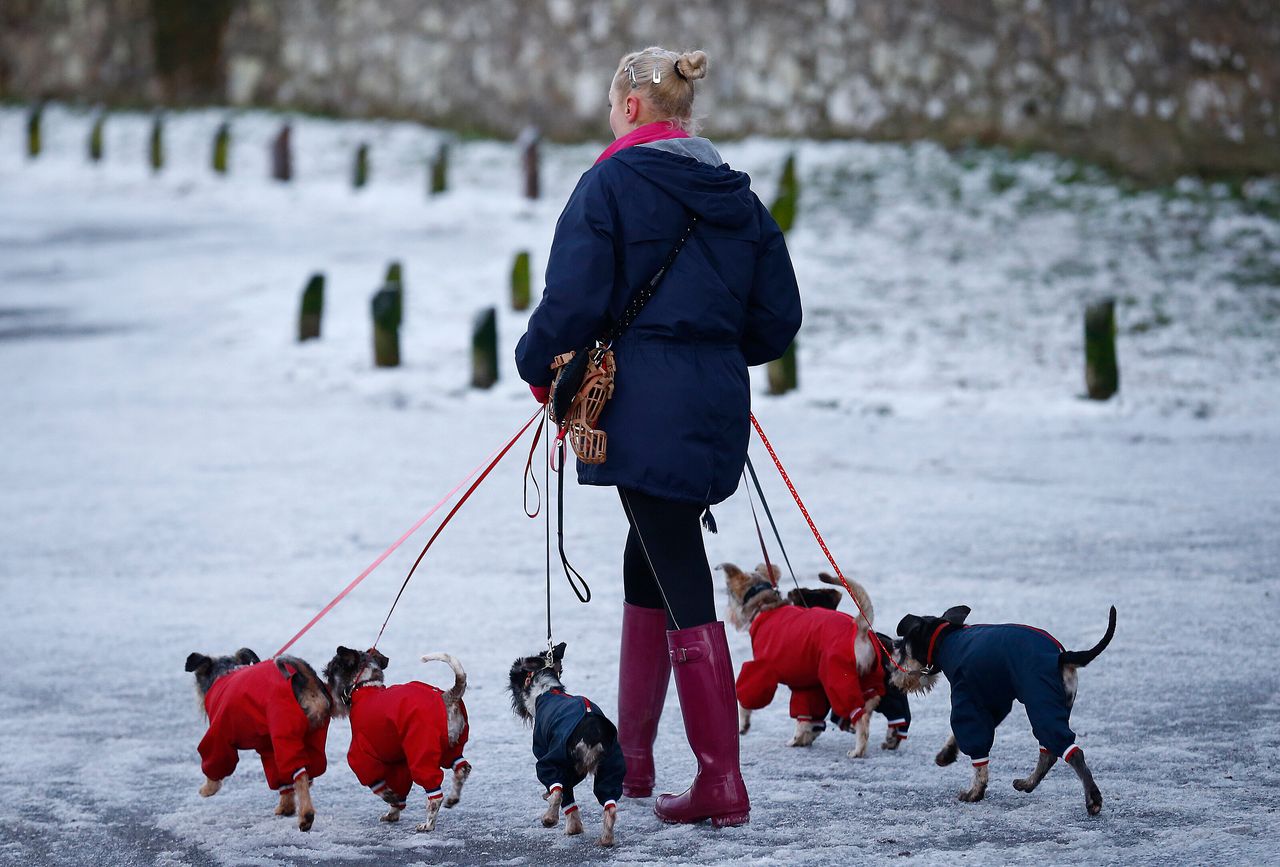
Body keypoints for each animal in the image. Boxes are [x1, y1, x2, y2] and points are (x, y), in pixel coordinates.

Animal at [186, 645, 335, 829]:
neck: (224, 672)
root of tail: (305, 678)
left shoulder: (219, 736)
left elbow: (215, 761)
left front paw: (208, 789)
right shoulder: (268, 748)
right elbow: (279, 778)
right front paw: (286, 807)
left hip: (285, 734)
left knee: (300, 776)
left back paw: (306, 816)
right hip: (313, 738)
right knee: (306, 775)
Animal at [325, 645, 471, 829]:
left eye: (328, 673)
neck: (365, 686)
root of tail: (447, 697)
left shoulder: (361, 753)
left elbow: (377, 784)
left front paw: (390, 797)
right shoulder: (399, 762)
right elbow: (399, 787)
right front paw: (393, 813)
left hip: (422, 750)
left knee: (435, 795)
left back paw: (428, 825)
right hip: (451, 748)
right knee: (462, 768)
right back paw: (452, 798)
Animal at [512, 642, 627, 845]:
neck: (545, 689)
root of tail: (593, 728)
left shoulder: (545, 748)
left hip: (555, 759)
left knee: (559, 789)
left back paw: (552, 819)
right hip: (611, 763)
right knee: (609, 804)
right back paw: (605, 839)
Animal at [727, 563, 885, 753]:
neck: (766, 605)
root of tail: (859, 627)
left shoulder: (761, 670)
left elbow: (746, 698)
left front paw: (743, 724)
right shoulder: (807, 686)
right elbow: (805, 716)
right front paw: (802, 739)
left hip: (837, 678)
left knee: (860, 716)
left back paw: (857, 751)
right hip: (868, 677)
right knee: (870, 704)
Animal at [885, 601, 1116, 809]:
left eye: (902, 648)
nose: (892, 673)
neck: (946, 639)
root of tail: (1061, 656)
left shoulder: (966, 697)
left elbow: (976, 750)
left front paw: (974, 792)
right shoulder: (993, 701)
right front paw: (947, 754)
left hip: (1041, 701)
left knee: (1071, 751)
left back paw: (1092, 798)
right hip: (1057, 705)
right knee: (1049, 751)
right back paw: (1027, 783)